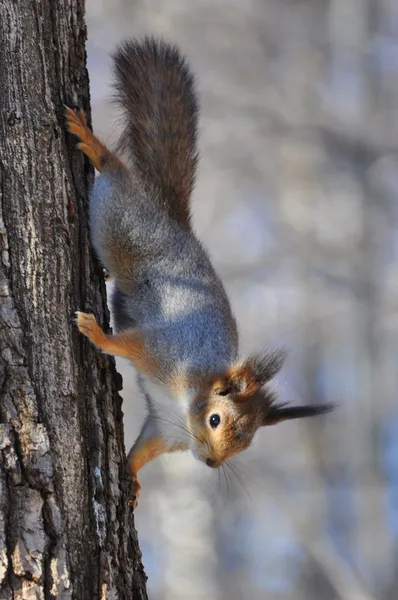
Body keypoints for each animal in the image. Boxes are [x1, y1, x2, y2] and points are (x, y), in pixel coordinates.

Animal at [66, 36, 332, 506]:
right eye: (215, 420)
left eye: (248, 441)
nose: (210, 463)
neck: (186, 396)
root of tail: (172, 220)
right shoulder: (164, 352)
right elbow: (126, 344)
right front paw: (97, 332)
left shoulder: (163, 427)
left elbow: (144, 449)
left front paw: (131, 478)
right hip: (121, 221)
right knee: (116, 173)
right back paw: (93, 144)